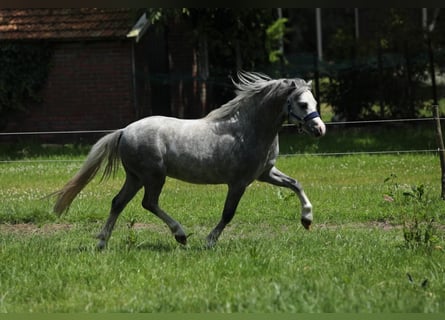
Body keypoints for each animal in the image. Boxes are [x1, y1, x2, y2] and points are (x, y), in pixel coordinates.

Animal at [53, 71, 326, 249]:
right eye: (303, 104)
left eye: (314, 102)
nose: (320, 129)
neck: (248, 129)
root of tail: (124, 131)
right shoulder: (239, 182)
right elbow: (228, 213)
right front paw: (209, 241)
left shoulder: (265, 174)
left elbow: (296, 184)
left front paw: (307, 220)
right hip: (153, 177)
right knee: (148, 203)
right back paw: (180, 235)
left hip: (136, 177)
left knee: (118, 202)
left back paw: (102, 242)